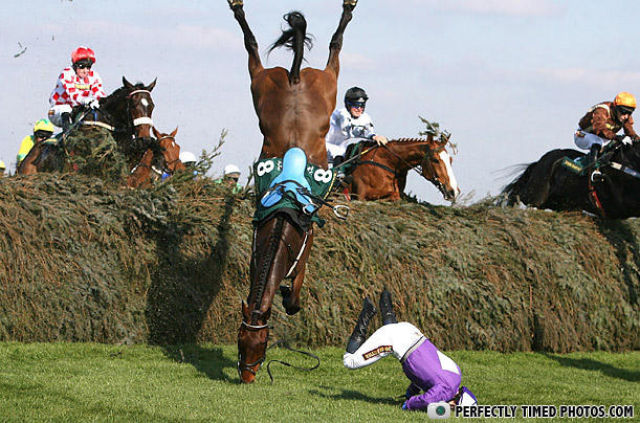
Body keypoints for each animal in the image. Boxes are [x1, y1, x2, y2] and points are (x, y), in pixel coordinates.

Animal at [229, 0, 360, 384]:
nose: (247, 377)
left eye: (261, 345)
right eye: (241, 342)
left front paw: (290, 297)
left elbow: (295, 294)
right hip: (267, 84)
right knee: (254, 47)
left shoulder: (305, 245)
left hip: (317, 82)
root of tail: (296, 75)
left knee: (333, 48)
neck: (282, 221)